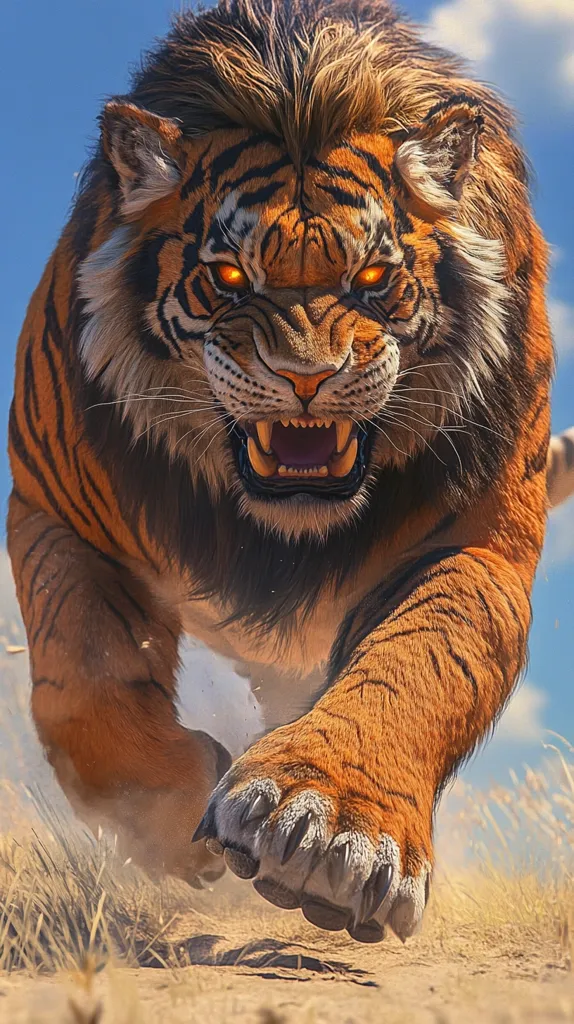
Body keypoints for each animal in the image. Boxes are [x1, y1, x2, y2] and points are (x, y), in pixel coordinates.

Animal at [7, 0, 573, 946]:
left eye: (375, 277)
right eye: (230, 277)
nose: (307, 377)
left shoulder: (477, 542)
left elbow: (420, 660)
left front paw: (330, 833)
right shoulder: (56, 510)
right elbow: (79, 677)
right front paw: (176, 811)